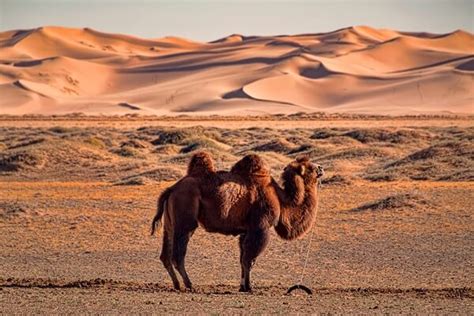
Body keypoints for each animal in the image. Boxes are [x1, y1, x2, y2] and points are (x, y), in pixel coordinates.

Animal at [151, 151, 322, 292]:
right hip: (185, 220)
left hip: (170, 224)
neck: (281, 198)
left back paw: (177, 285)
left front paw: (242, 286)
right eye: (310, 167)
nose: (321, 168)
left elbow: (242, 259)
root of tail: (171, 189)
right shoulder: (260, 227)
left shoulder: (245, 231)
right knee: (178, 255)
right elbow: (249, 259)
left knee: (165, 255)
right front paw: (249, 288)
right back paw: (189, 285)